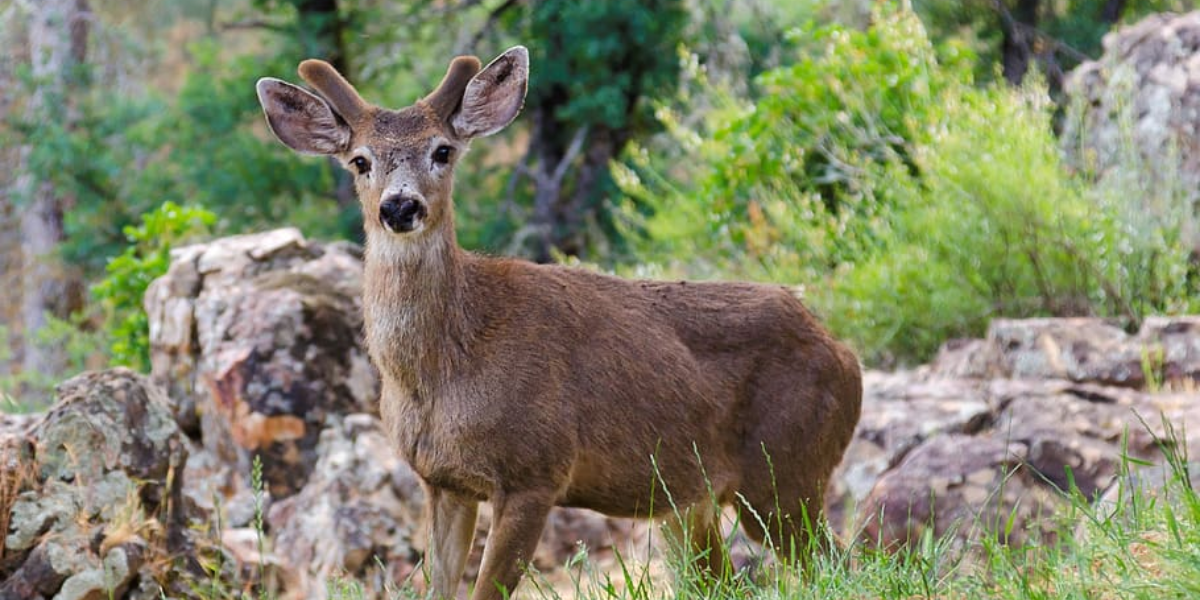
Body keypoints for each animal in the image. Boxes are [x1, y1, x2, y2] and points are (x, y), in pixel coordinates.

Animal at [258, 44, 868, 597]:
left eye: (443, 151)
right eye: (360, 160)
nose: (400, 207)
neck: (445, 367)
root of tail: (845, 354)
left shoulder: (536, 470)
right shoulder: (443, 481)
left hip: (785, 469)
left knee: (844, 565)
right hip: (692, 502)